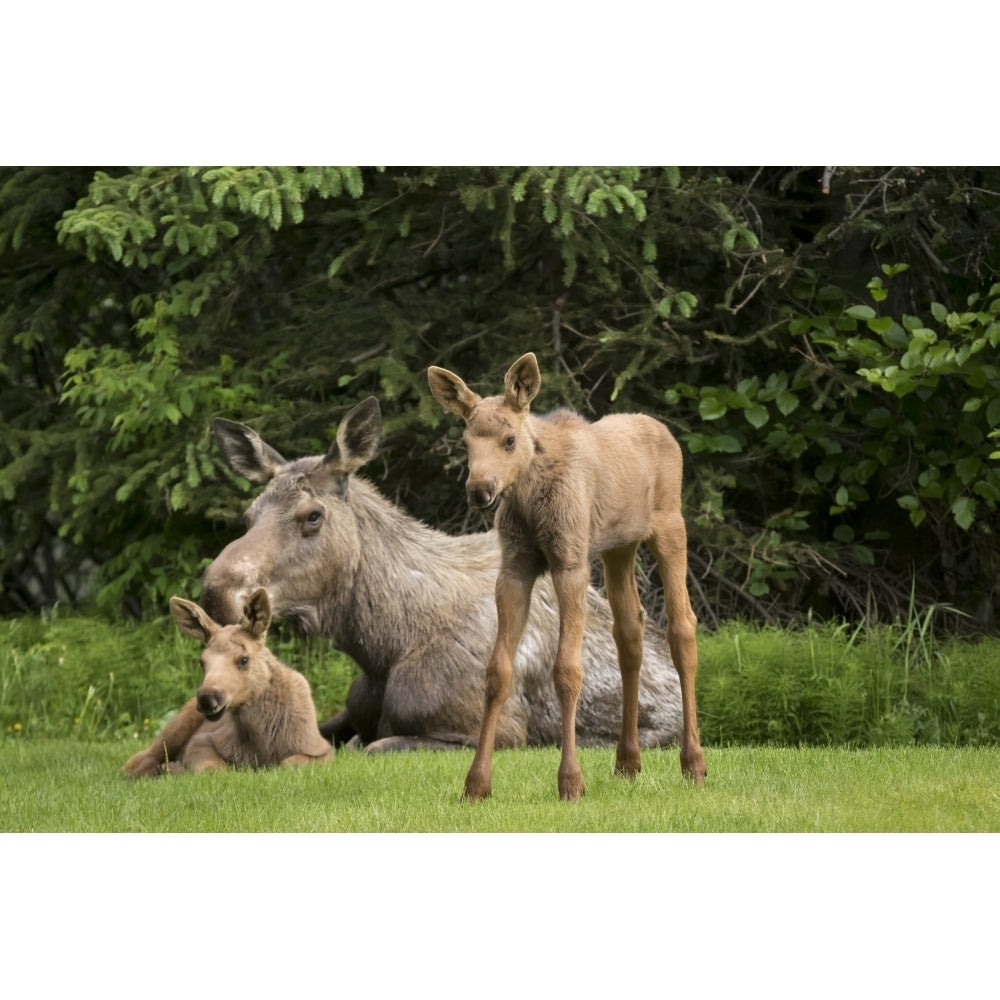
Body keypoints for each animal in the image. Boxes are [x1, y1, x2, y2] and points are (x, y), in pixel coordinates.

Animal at [121, 588, 332, 776]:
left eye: (244, 659)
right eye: (202, 662)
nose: (207, 698)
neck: (262, 743)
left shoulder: (324, 750)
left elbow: (289, 762)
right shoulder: (202, 740)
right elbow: (215, 768)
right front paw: (177, 769)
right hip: (176, 727)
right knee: (138, 759)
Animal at [201, 394, 688, 752]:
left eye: (312, 516)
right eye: (248, 515)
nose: (217, 592)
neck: (382, 647)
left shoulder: (496, 732)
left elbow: (370, 745)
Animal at [428, 354, 704, 804]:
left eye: (509, 439)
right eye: (466, 442)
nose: (480, 490)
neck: (528, 498)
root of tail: (666, 433)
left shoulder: (570, 562)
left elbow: (567, 671)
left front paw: (571, 782)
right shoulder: (515, 567)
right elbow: (497, 672)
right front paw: (476, 783)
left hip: (670, 528)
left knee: (682, 629)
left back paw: (693, 763)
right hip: (618, 547)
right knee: (630, 632)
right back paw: (627, 762)